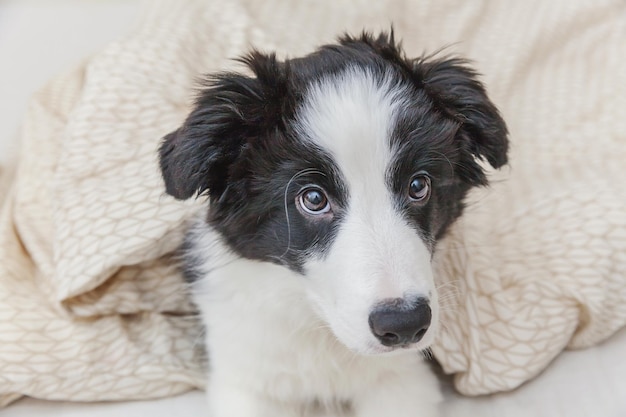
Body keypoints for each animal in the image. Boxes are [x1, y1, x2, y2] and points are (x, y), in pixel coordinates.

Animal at [160, 31, 508, 416]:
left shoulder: (403, 380)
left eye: (418, 186)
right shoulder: (247, 379)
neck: (321, 327)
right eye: (313, 199)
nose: (404, 325)